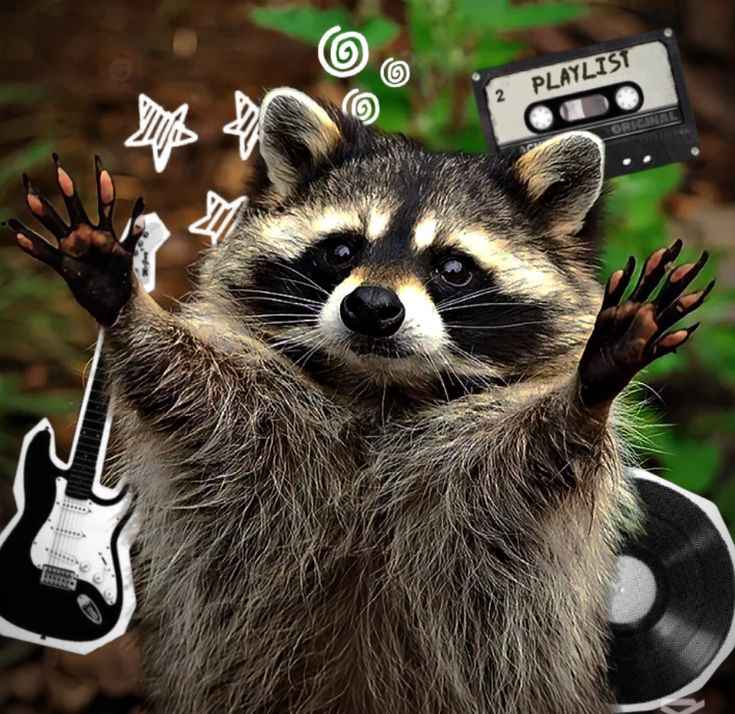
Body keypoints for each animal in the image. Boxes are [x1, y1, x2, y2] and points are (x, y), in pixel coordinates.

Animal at [10, 87, 713, 714]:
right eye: (342, 248)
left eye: (452, 268)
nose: (371, 307)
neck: (379, 388)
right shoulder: (256, 425)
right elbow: (187, 391)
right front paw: (127, 305)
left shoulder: (488, 486)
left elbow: (540, 457)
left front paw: (587, 390)